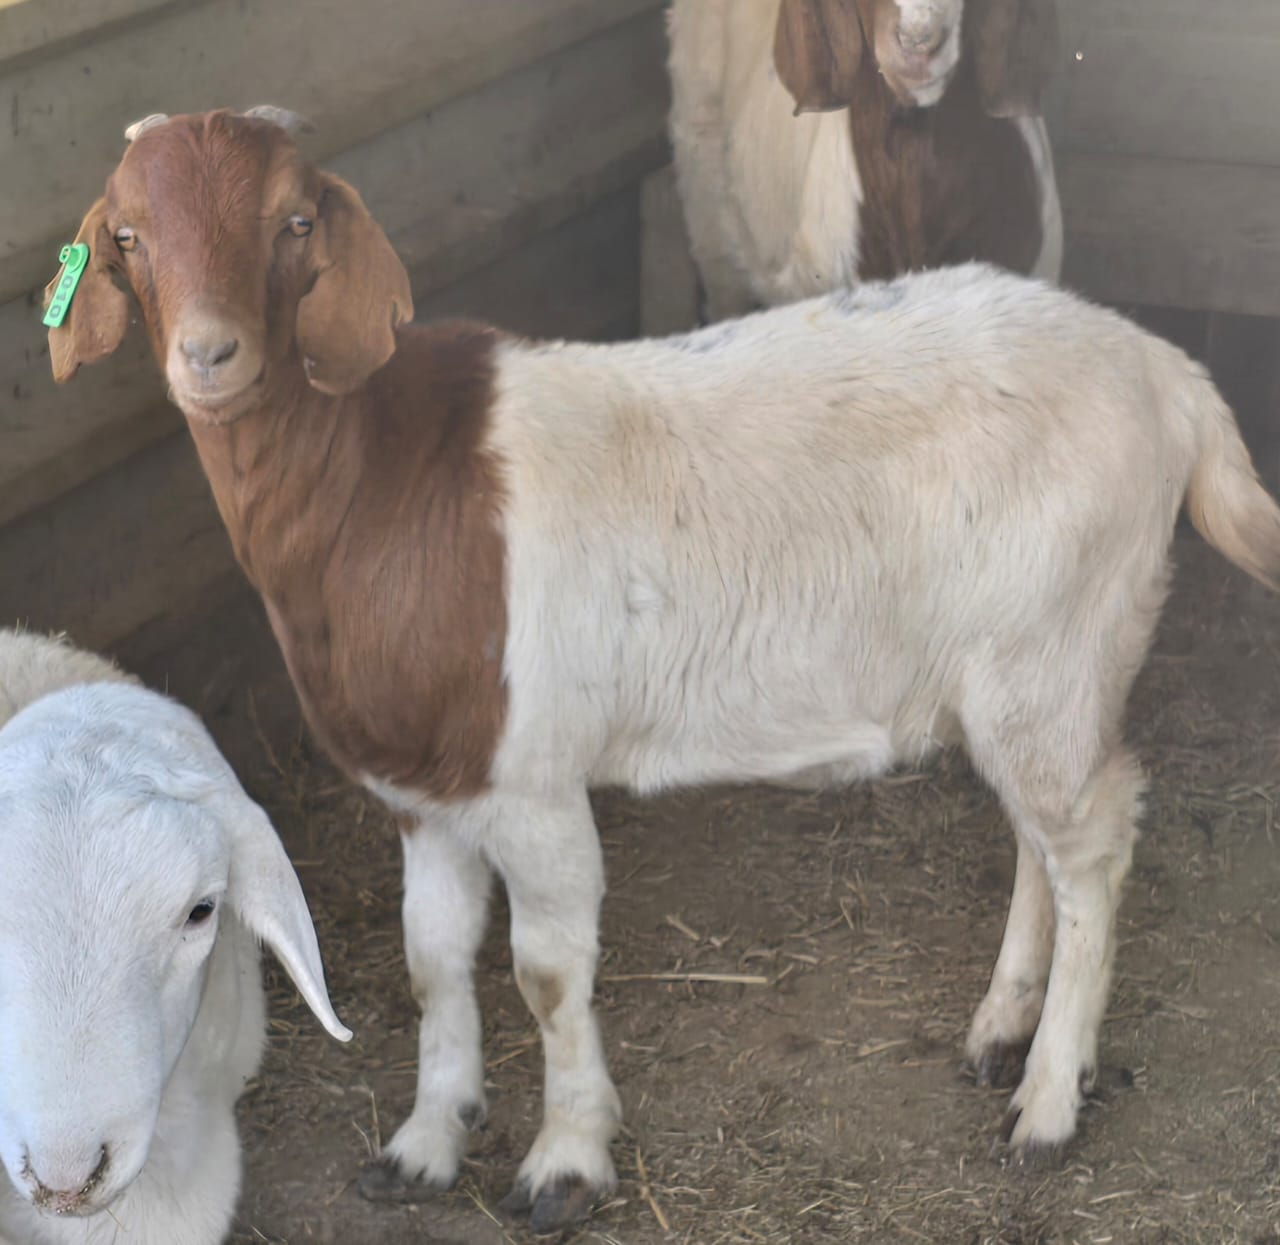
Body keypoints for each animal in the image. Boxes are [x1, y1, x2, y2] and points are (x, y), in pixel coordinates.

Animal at [45, 107, 1280, 1232]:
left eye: (293, 220)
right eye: (129, 235)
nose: (210, 357)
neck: (377, 482)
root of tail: (1166, 374)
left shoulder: (532, 779)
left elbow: (545, 974)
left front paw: (564, 1162)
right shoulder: (424, 790)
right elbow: (431, 962)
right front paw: (423, 1143)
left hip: (1056, 645)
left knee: (1093, 847)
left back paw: (1048, 1101)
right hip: (1022, 672)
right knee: (1042, 839)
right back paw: (999, 1031)